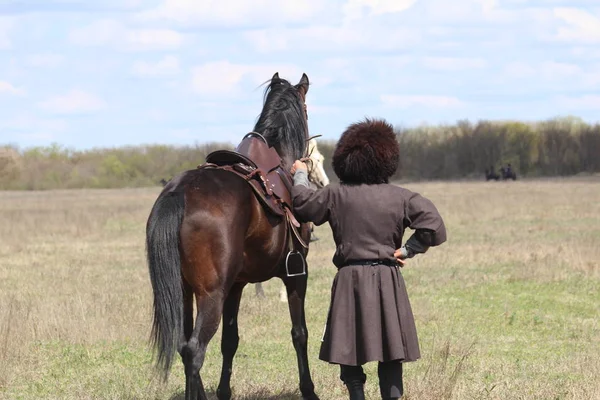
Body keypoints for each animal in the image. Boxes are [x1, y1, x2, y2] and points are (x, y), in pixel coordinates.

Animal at [146, 72, 322, 400]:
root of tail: (180, 192)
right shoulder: (296, 275)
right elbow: (299, 333)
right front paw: (309, 390)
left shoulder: (237, 285)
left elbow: (231, 340)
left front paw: (224, 390)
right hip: (210, 294)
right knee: (194, 349)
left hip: (185, 291)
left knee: (183, 345)